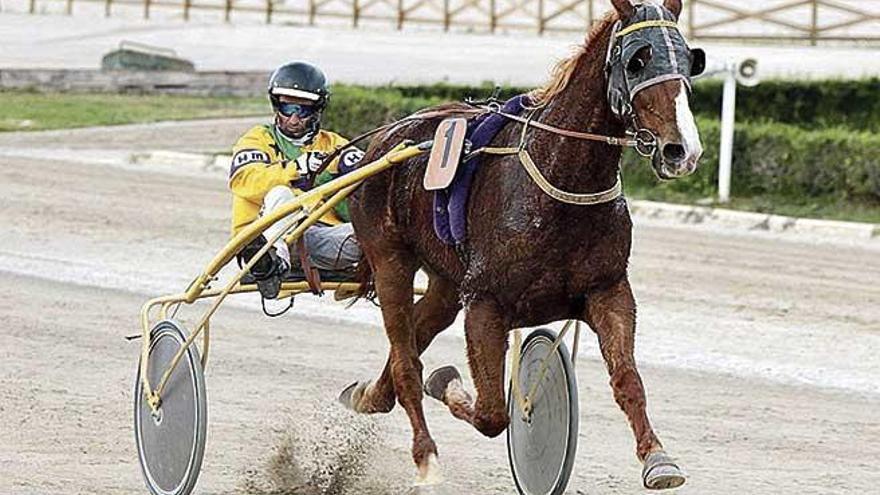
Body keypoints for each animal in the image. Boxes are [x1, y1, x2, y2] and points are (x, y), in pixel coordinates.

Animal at [340, 0, 704, 488]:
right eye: (637, 60)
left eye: (690, 60)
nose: (681, 150)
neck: (561, 178)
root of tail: (385, 137)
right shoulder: (485, 301)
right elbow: (493, 412)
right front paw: (447, 383)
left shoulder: (608, 290)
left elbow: (628, 379)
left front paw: (658, 458)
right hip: (390, 258)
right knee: (406, 361)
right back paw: (425, 454)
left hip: (445, 281)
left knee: (416, 332)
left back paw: (370, 394)